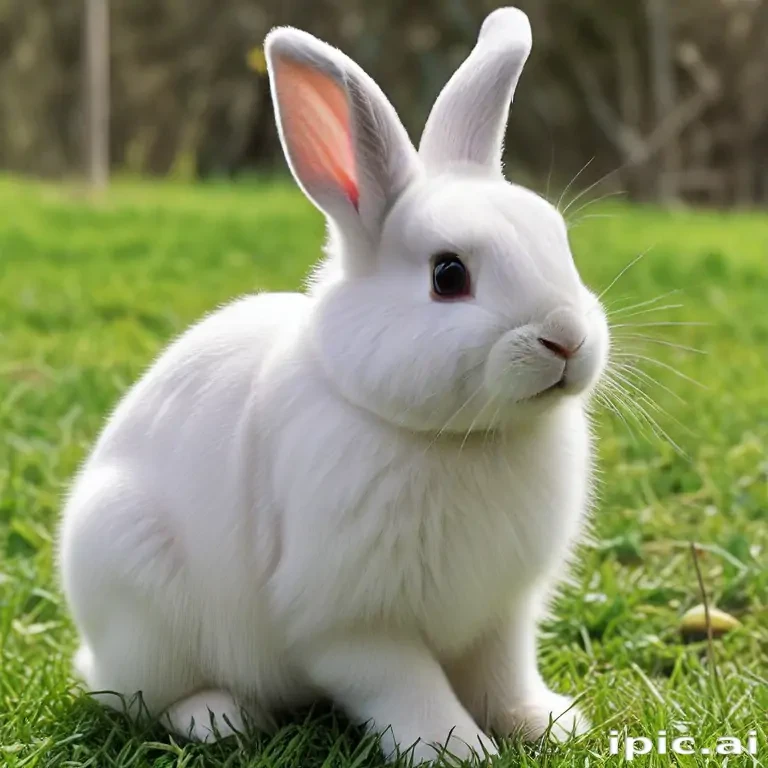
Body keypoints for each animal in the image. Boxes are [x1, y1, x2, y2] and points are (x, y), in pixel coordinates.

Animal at [59, 6, 610, 764]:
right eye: (448, 276)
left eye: (558, 240)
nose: (567, 339)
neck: (462, 439)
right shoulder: (351, 624)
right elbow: (407, 687)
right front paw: (456, 748)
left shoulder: (502, 610)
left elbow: (505, 675)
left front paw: (550, 724)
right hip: (137, 580)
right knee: (144, 696)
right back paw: (220, 717)